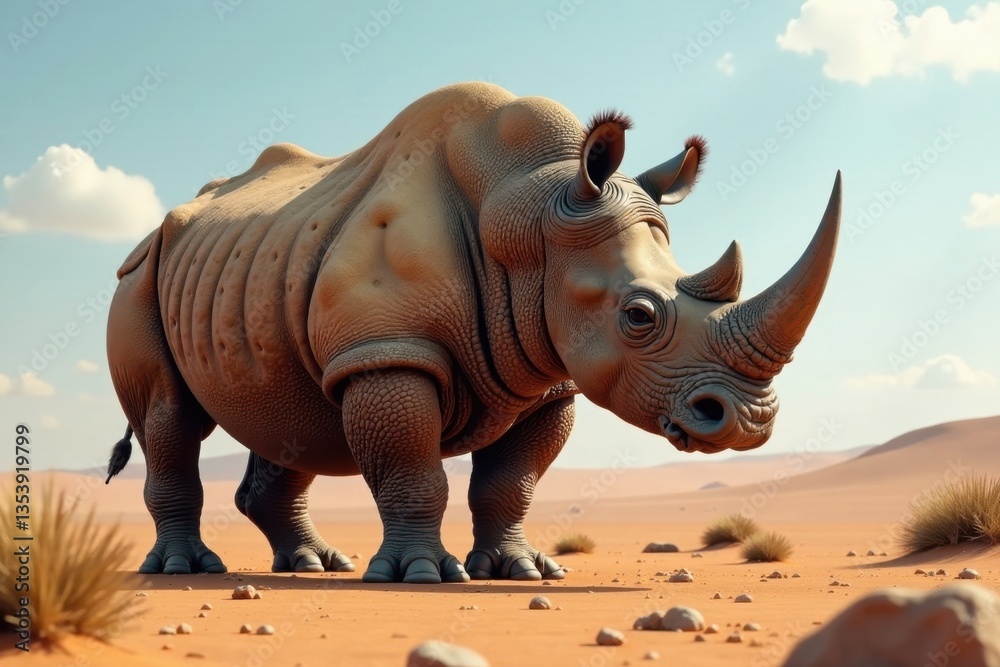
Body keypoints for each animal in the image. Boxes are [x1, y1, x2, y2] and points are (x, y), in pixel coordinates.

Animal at [105, 82, 840, 583]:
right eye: (639, 316)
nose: (749, 422)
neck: (529, 214)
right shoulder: (388, 353)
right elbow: (413, 467)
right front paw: (422, 575)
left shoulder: (548, 380)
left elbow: (510, 482)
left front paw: (523, 571)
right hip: (140, 273)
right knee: (172, 418)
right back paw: (185, 568)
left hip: (258, 267)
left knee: (291, 414)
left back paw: (315, 564)